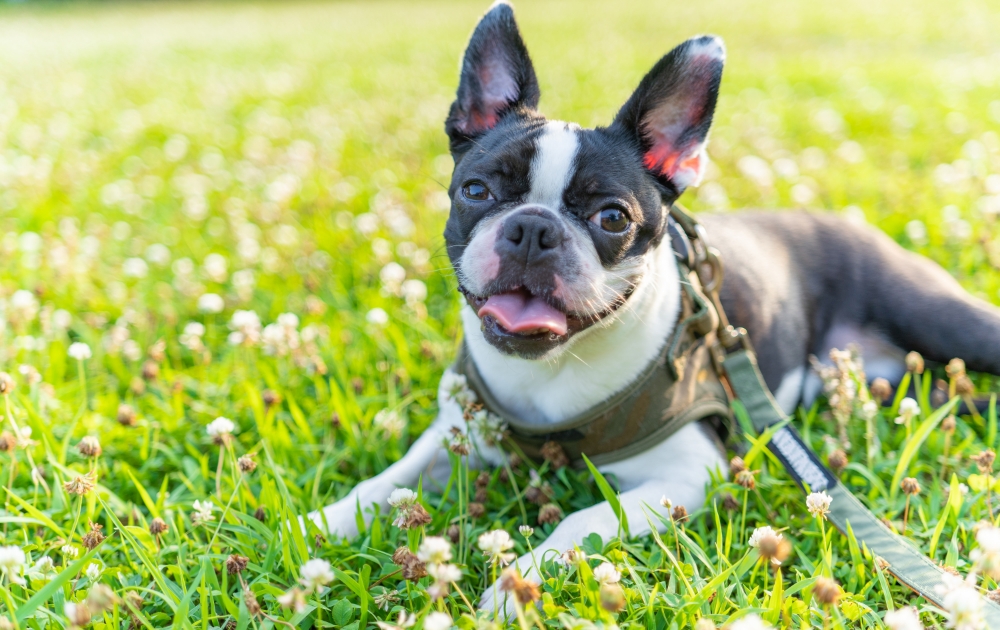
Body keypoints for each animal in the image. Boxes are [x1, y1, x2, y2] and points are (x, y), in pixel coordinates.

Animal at [306, 0, 1000, 612]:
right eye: (476, 191)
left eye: (613, 217)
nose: (532, 228)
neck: (550, 371)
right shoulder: (455, 431)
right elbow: (386, 484)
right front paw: (320, 522)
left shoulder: (688, 474)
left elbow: (579, 521)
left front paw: (517, 583)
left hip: (941, 318)